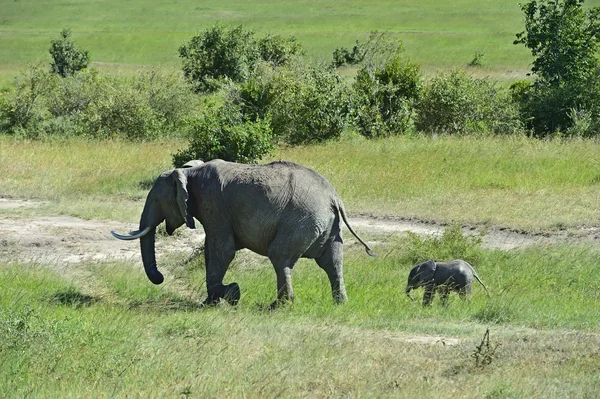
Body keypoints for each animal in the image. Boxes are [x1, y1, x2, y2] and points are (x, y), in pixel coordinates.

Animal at [112, 159, 372, 306]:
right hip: (328, 225)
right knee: (332, 261)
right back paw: (340, 304)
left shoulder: (213, 204)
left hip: (301, 220)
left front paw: (227, 296)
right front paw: (214, 300)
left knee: (280, 256)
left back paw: (280, 306)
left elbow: (222, 250)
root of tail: (334, 197)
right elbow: (213, 251)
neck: (189, 171)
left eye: (156, 200)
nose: (160, 278)